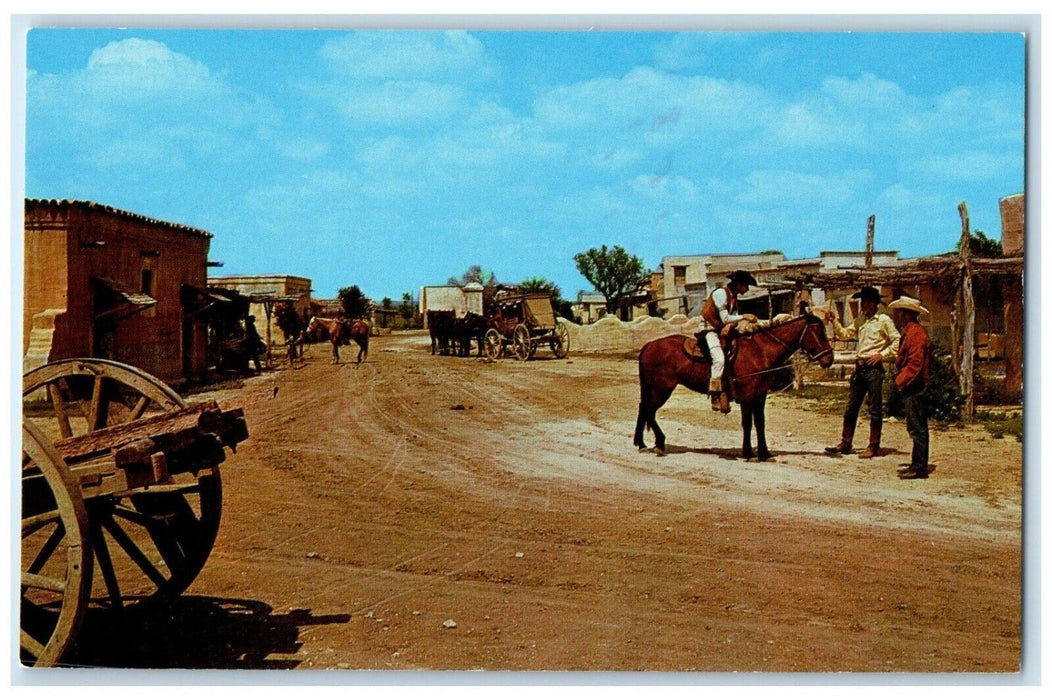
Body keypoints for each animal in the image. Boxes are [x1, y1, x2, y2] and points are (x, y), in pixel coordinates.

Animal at [635, 313, 833, 461]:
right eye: (820, 332)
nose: (829, 359)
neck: (760, 351)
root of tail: (648, 345)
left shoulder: (760, 396)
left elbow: (760, 423)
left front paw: (764, 453)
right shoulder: (747, 397)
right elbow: (747, 423)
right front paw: (748, 453)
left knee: (644, 409)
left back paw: (642, 443)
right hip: (662, 389)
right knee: (649, 411)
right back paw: (659, 444)